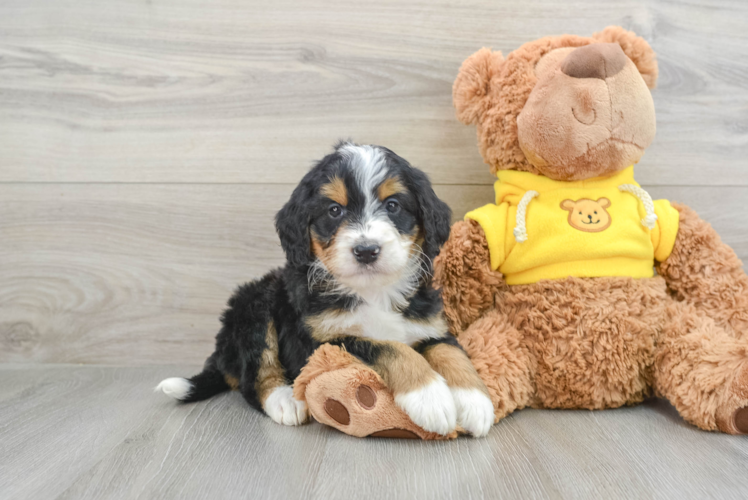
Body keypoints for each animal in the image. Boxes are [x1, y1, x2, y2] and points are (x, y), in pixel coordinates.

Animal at [157, 142, 494, 438]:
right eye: (334, 210)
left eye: (393, 206)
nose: (366, 250)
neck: (372, 291)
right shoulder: (322, 341)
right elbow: (388, 347)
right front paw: (431, 397)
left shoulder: (429, 323)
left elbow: (450, 351)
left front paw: (475, 401)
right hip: (255, 305)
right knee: (253, 375)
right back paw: (285, 400)